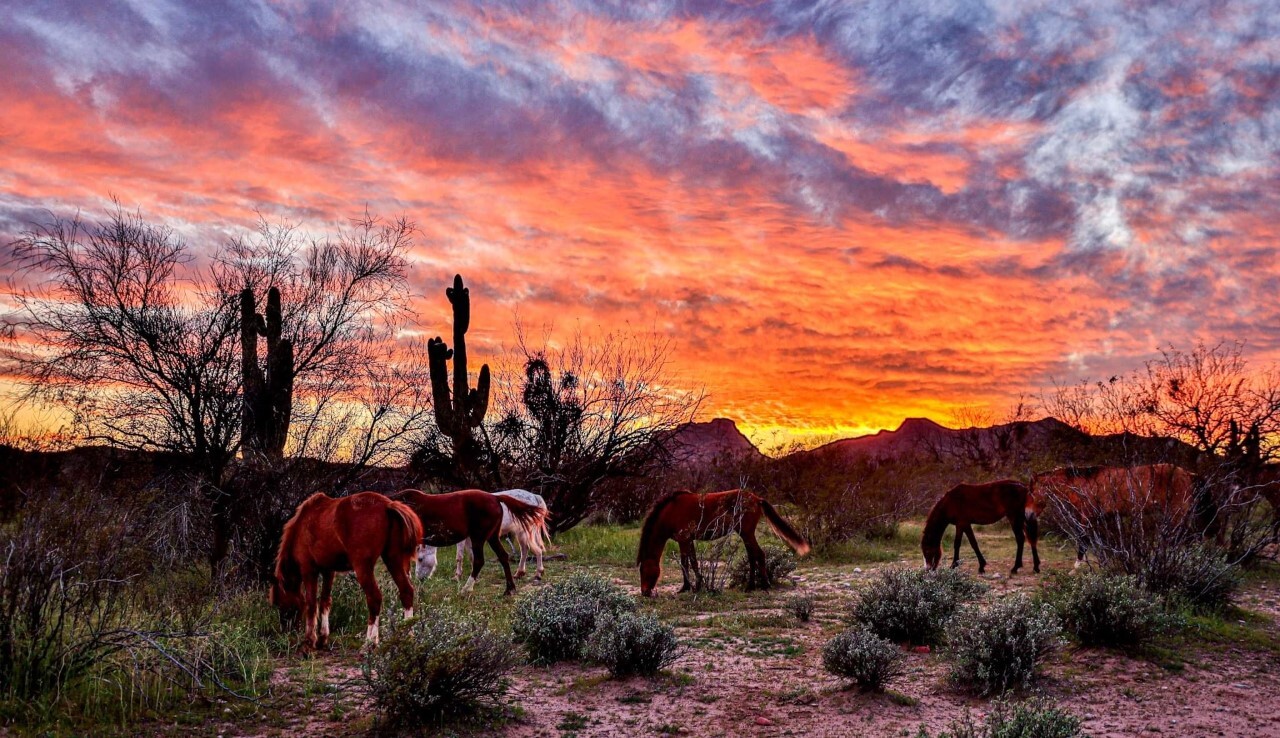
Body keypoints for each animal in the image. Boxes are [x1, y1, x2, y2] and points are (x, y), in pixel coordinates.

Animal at [270, 491, 422, 650]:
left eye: (280, 603)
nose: (287, 631)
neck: (302, 526)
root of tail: (387, 505)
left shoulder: (309, 571)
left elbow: (311, 604)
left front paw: (310, 640)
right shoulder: (328, 571)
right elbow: (325, 601)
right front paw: (322, 638)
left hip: (363, 567)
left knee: (374, 598)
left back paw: (369, 643)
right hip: (393, 560)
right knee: (406, 591)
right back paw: (408, 637)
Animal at [392, 489, 548, 595]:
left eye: (420, 559)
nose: (420, 579)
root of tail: (496, 498)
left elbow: (460, 557)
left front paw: (457, 576)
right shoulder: (468, 539)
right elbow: (470, 557)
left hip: (506, 535)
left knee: (535, 550)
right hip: (496, 537)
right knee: (511, 554)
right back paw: (512, 585)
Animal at [637, 489, 810, 597]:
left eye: (644, 570)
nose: (644, 592)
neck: (671, 512)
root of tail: (757, 499)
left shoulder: (684, 540)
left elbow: (687, 563)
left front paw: (690, 587)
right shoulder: (687, 541)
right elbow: (691, 562)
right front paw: (692, 586)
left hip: (746, 533)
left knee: (758, 554)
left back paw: (763, 585)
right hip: (746, 534)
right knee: (752, 556)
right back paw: (752, 586)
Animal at [1030, 463, 1196, 565]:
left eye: (1031, 491)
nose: (1029, 514)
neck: (1082, 484)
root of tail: (1187, 473)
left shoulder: (1085, 518)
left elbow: (1083, 540)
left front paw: (1077, 566)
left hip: (1177, 514)